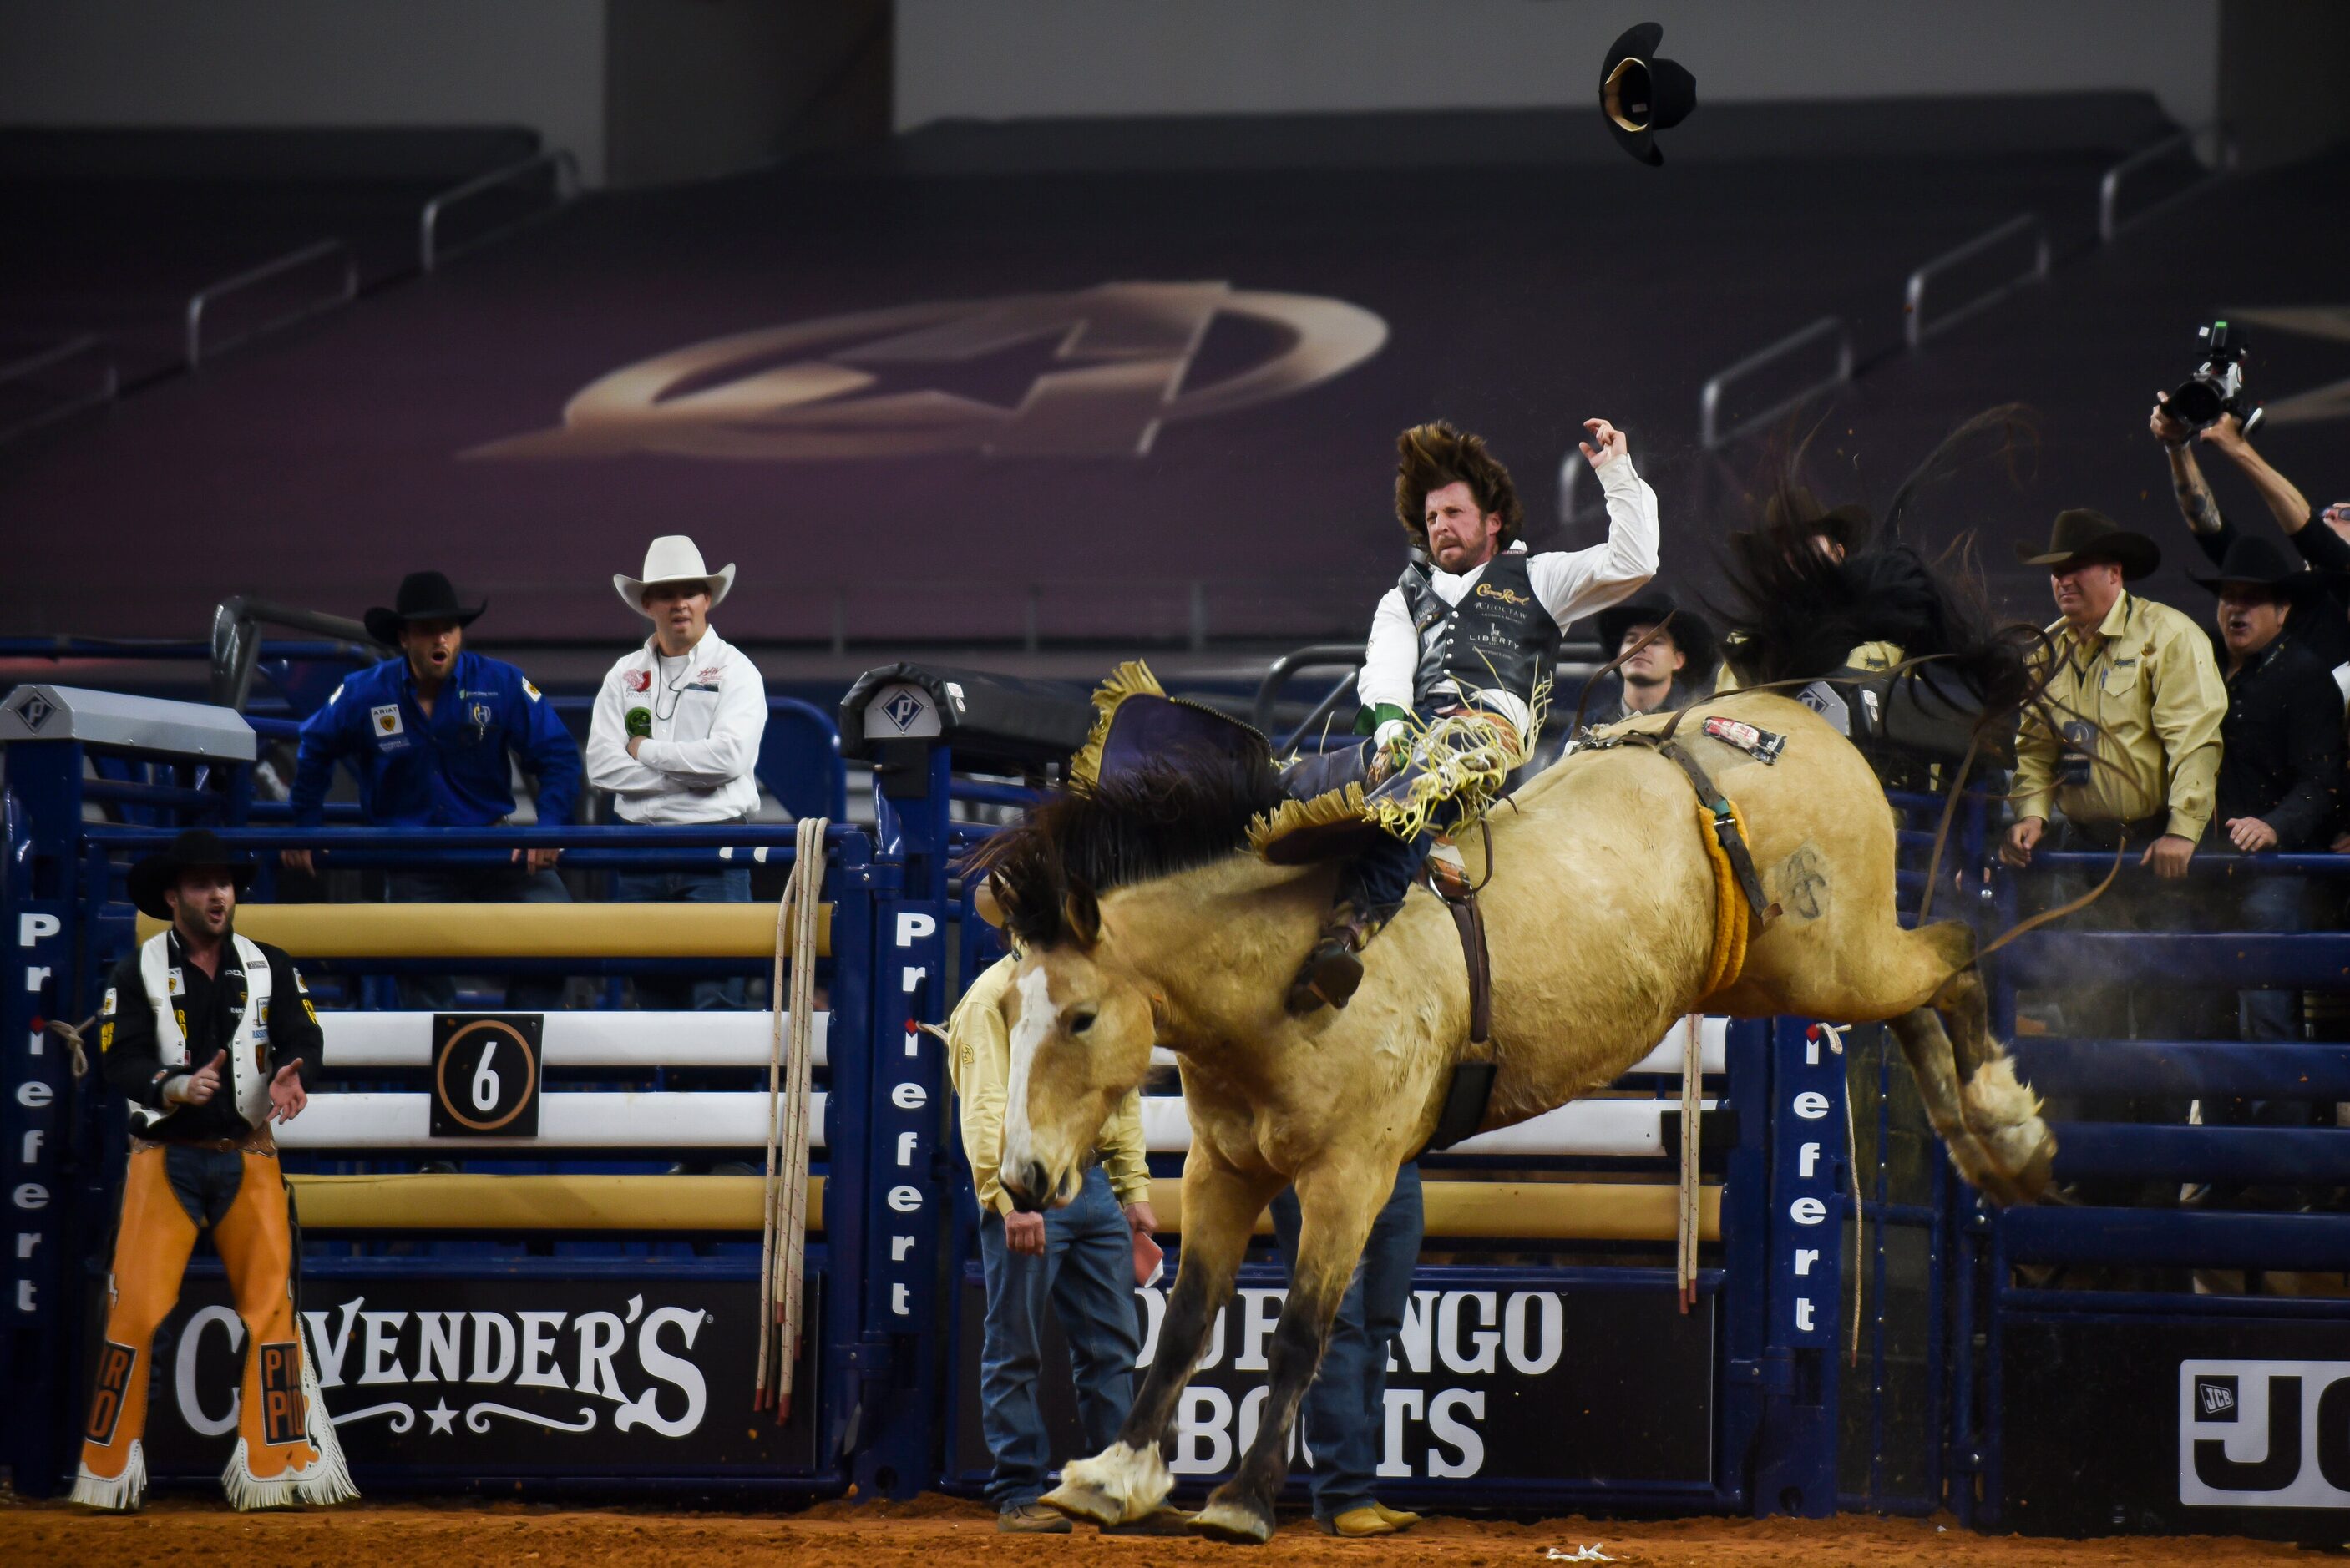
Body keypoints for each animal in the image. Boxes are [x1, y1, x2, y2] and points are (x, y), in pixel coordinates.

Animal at [963, 517, 2049, 1542]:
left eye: (1081, 1015)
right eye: (1005, 1012)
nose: (1021, 1178)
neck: (1279, 971)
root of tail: (1777, 707)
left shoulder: (1351, 1175)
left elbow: (1302, 1331)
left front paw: (1240, 1501)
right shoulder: (1221, 1169)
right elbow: (1187, 1322)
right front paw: (1111, 1477)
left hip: (1841, 951)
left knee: (1955, 951)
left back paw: (2010, 1130)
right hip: (1786, 974)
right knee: (1920, 1001)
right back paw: (1986, 1145)